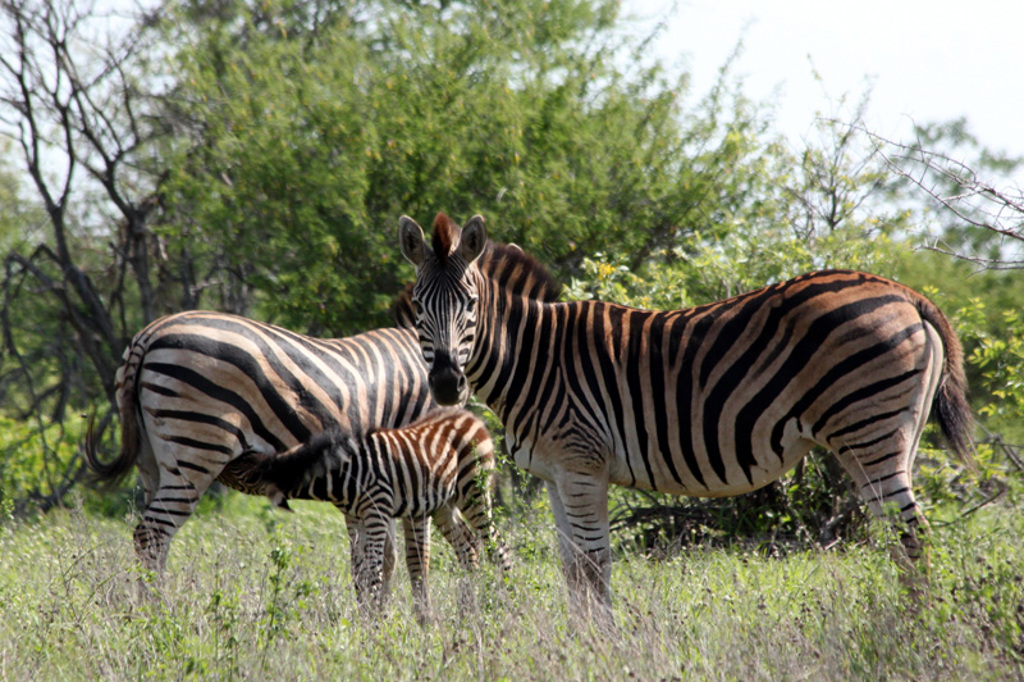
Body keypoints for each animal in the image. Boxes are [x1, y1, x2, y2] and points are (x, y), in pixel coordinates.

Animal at [85, 310, 438, 596]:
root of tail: (148, 334)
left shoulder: (374, 487)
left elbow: (379, 559)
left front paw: (376, 622)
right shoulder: (413, 472)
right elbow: (416, 558)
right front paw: (418, 626)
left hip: (152, 462)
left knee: (151, 536)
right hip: (196, 450)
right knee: (152, 534)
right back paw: (157, 619)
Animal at [230, 406, 512, 618]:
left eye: (239, 469)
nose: (227, 457)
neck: (343, 474)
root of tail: (472, 417)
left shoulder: (377, 510)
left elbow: (373, 572)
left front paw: (375, 630)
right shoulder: (356, 518)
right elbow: (360, 574)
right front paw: (365, 622)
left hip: (473, 491)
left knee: (498, 547)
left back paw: (507, 605)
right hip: (444, 504)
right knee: (468, 548)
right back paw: (468, 611)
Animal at [397, 212, 974, 621]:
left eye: (470, 304)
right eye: (418, 306)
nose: (446, 383)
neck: (534, 357)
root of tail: (904, 292)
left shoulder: (583, 468)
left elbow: (594, 567)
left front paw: (603, 648)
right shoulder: (556, 475)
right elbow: (571, 570)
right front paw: (579, 644)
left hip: (870, 432)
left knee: (915, 538)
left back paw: (916, 634)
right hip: (872, 442)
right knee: (900, 540)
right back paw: (902, 623)